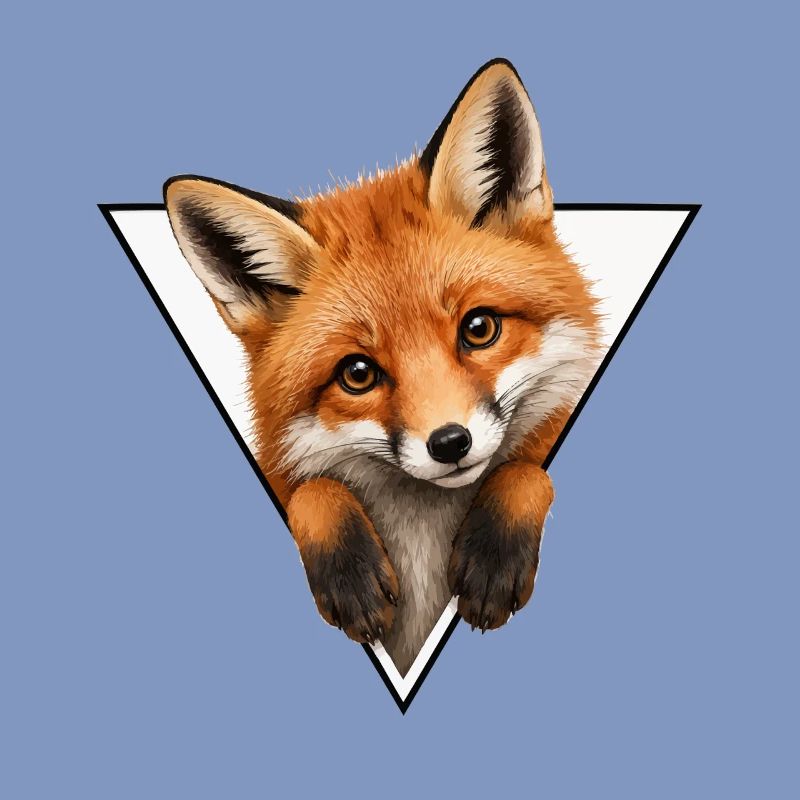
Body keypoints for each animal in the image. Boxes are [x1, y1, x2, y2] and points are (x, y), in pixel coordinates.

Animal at [164, 59, 601, 675]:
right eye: (358, 373)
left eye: (479, 328)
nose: (450, 443)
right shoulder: (283, 472)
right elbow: (311, 491)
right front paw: (349, 571)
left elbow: (528, 471)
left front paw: (494, 552)